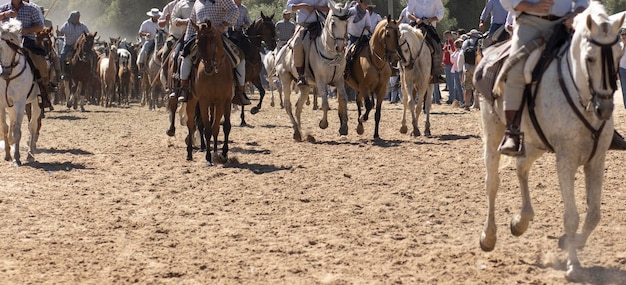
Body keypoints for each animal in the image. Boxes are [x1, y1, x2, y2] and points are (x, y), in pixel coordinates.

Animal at [0, 18, 41, 165]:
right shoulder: (2, 104)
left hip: (35, 103)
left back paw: (30, 153)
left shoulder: (20, 103)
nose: (5, 72)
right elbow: (5, 127)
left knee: (32, 125)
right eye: (0, 48)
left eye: (13, 48)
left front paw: (16, 157)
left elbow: (18, 130)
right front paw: (7, 154)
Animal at [186, 20, 235, 165]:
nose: (207, 67)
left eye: (212, 40)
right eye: (197, 42)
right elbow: (208, 128)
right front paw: (208, 157)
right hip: (192, 100)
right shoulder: (204, 101)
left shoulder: (222, 101)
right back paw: (189, 153)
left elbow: (220, 127)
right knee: (190, 124)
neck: (215, 74)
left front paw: (221, 154)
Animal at [274, 0, 348, 141]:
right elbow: (324, 103)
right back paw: (296, 132)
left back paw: (302, 132)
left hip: (305, 86)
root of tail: (280, 51)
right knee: (288, 105)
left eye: (346, 22)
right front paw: (323, 124)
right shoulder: (320, 80)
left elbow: (344, 100)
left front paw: (344, 128)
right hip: (286, 79)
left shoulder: (339, 79)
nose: (340, 47)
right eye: (333, 23)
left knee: (298, 107)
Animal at [478, 2, 620, 280]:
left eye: (619, 54)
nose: (605, 109)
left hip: (535, 144)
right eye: (590, 58)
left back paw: (520, 222)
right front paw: (573, 265)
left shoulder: (597, 160)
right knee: (492, 183)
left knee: (521, 168)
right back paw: (488, 237)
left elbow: (594, 215)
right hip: (493, 133)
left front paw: (569, 243)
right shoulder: (566, 160)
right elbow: (572, 216)